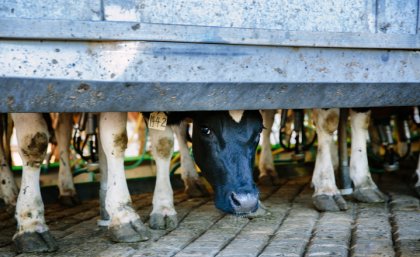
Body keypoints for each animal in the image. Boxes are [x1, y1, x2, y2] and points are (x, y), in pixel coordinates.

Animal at [12, 109, 262, 251]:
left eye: (259, 131)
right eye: (206, 130)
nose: (246, 201)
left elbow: (163, 143)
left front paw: (163, 208)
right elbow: (34, 143)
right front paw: (31, 224)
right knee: (61, 131)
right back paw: (64, 189)